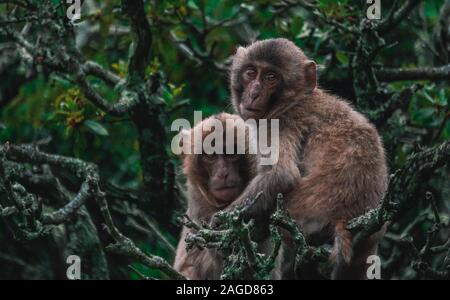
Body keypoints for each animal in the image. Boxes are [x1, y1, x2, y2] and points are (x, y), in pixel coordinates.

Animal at [213, 38, 388, 280]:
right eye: (250, 72)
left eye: (271, 77)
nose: (254, 93)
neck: (296, 100)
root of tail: (344, 217)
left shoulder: (280, 124)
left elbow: (282, 174)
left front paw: (219, 222)